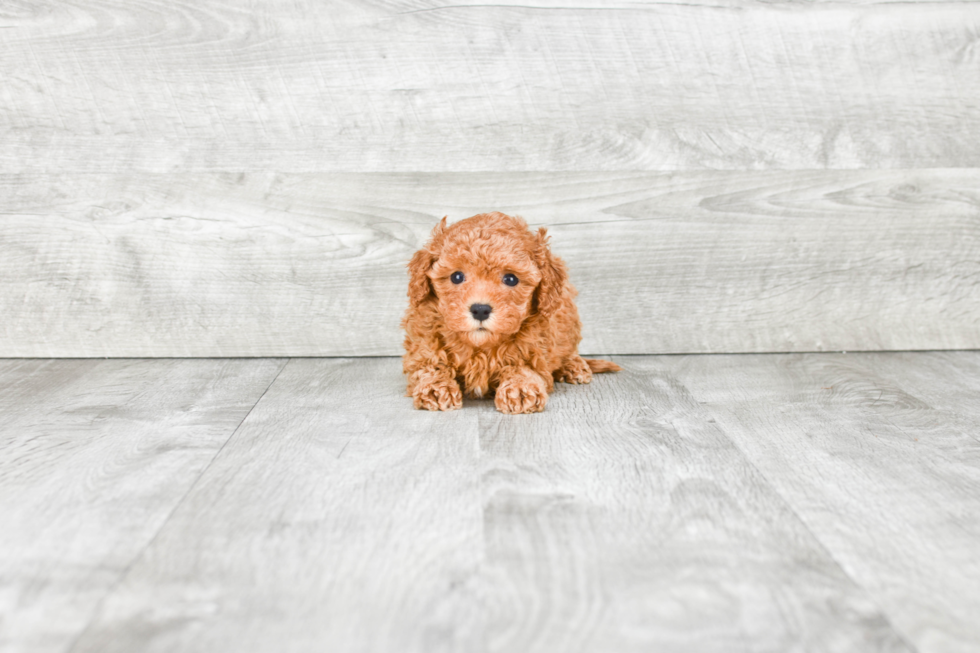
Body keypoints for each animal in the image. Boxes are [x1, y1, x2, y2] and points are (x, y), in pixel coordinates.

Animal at [400, 211, 620, 412]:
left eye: (511, 279)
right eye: (456, 276)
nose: (480, 310)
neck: (480, 347)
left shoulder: (535, 350)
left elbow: (524, 368)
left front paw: (519, 389)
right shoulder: (423, 344)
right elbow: (429, 366)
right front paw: (435, 388)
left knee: (568, 349)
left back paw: (573, 366)